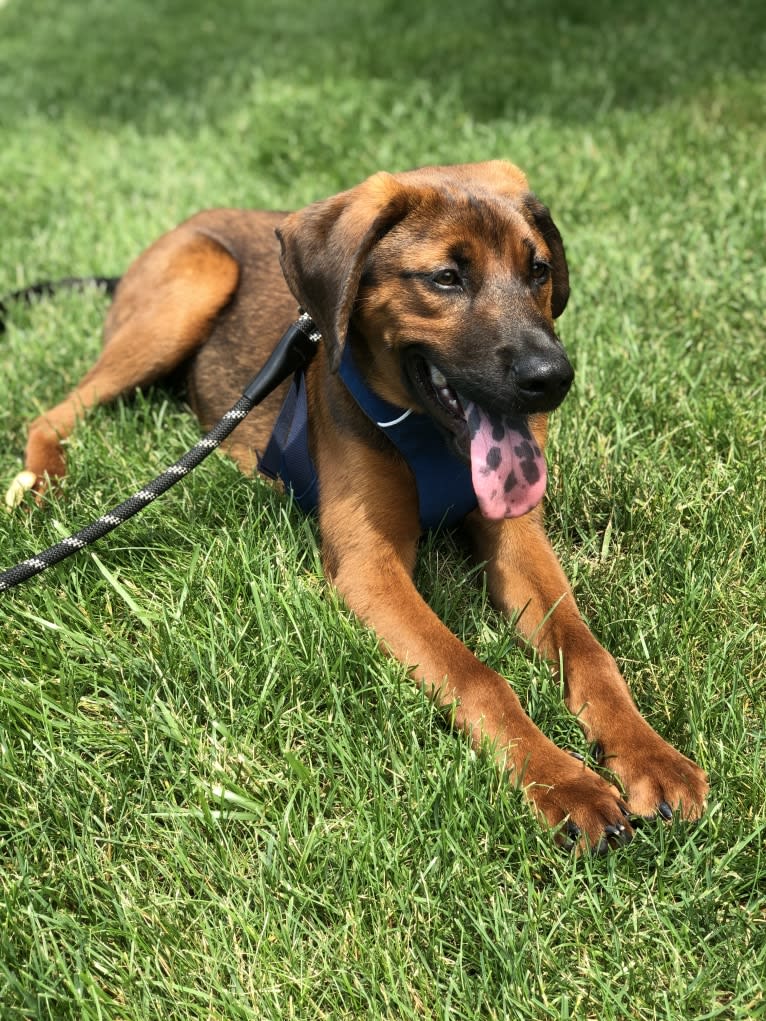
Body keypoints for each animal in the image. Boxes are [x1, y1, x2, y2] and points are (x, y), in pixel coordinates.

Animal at [10, 159, 706, 845]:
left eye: (538, 270)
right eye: (446, 277)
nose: (552, 379)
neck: (431, 435)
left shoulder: (517, 537)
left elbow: (588, 651)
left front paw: (650, 755)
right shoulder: (371, 565)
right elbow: (475, 674)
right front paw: (565, 783)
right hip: (190, 291)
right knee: (55, 412)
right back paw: (40, 482)